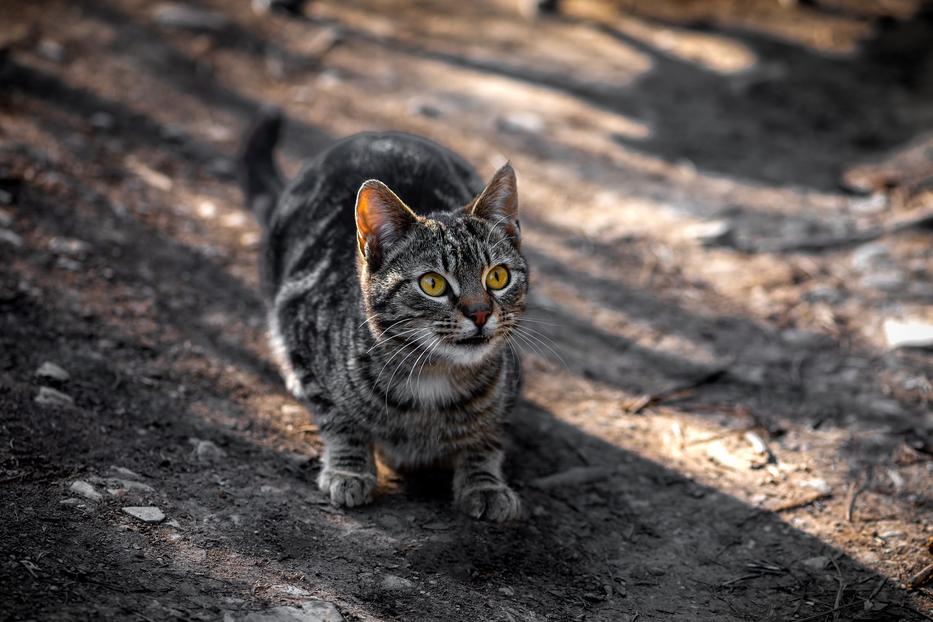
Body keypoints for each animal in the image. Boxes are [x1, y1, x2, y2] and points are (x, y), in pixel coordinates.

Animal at [240, 111, 528, 520]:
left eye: (498, 277)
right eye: (433, 284)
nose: (480, 312)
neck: (434, 376)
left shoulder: (511, 379)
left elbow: (490, 434)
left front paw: (484, 481)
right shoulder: (298, 317)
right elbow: (338, 417)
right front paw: (349, 469)